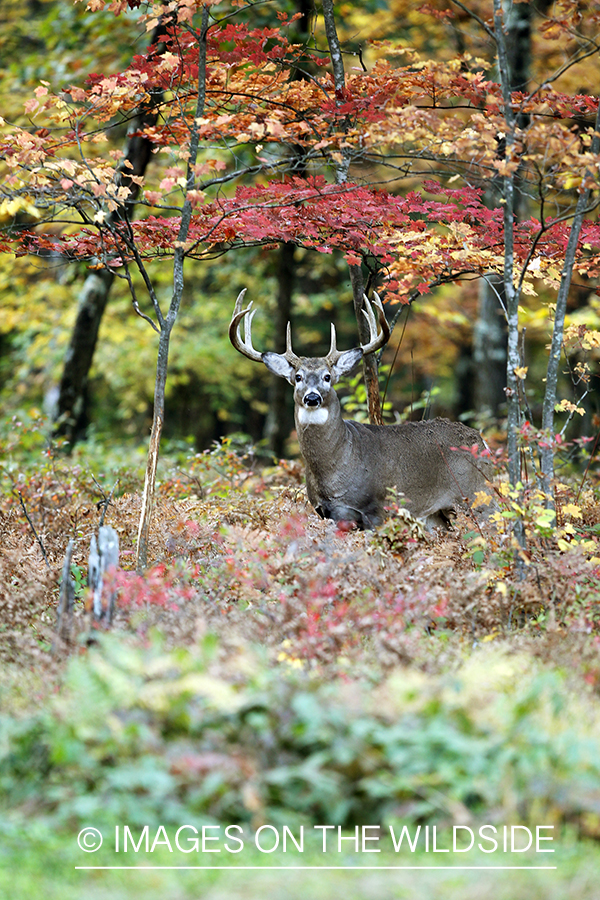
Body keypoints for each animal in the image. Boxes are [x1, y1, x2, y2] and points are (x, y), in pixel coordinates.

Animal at [230, 288, 492, 528]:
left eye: (327, 377)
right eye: (298, 377)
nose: (312, 398)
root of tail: (481, 440)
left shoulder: (376, 509)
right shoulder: (327, 512)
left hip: (478, 495)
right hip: (436, 514)